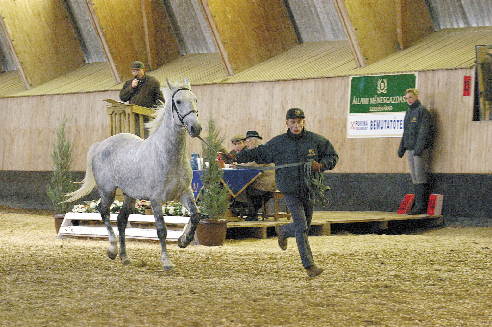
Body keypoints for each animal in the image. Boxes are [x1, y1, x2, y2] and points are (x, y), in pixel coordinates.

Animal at [66, 78, 201, 270]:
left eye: (195, 99)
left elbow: (195, 215)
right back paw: (112, 249)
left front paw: (183, 241)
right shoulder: (156, 199)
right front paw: (166, 261)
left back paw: (125, 257)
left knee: (121, 219)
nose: (196, 128)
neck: (168, 155)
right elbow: (161, 230)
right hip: (108, 191)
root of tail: (101, 145)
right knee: (104, 212)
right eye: (178, 101)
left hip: (129, 195)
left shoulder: (184, 192)